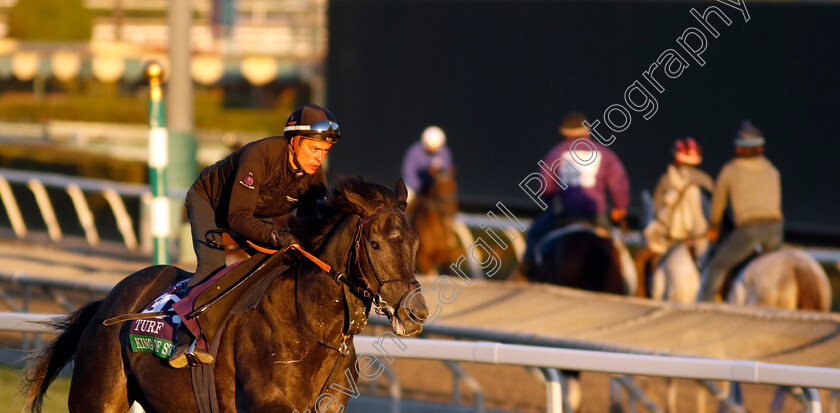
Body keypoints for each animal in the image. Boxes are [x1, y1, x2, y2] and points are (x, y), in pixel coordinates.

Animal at [23, 176, 430, 412]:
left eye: (413, 242)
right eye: (375, 244)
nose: (416, 313)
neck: (310, 325)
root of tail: (105, 304)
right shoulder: (268, 405)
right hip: (100, 396)